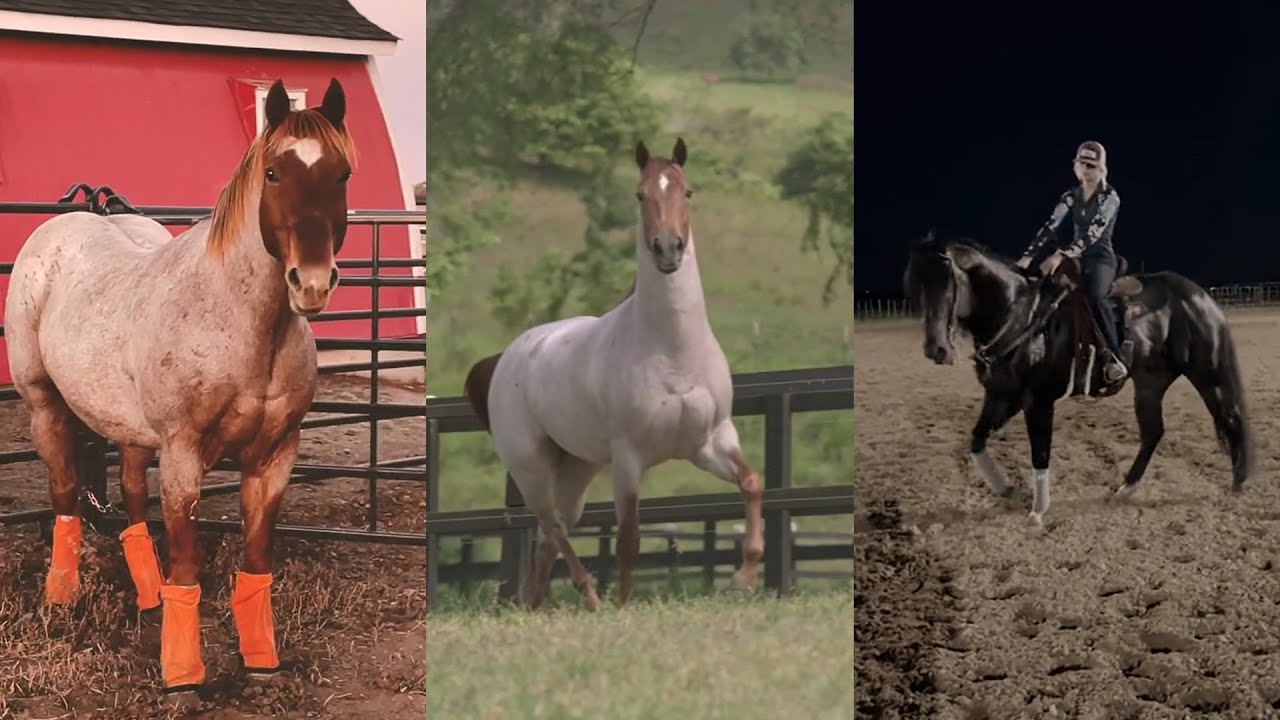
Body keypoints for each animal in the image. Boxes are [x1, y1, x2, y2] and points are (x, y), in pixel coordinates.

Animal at [4, 78, 355, 702]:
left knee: (129, 496)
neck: (242, 324)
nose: (312, 283)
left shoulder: (274, 457)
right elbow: (187, 565)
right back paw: (61, 599)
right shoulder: (184, 456)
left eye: (341, 174)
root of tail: (72, 219)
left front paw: (261, 664)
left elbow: (257, 559)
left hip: (129, 429)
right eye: (273, 173)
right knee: (66, 494)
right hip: (45, 405)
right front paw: (183, 679)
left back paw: (147, 599)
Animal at [463, 138, 764, 610]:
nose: (668, 250)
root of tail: (509, 355)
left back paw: (537, 605)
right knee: (553, 525)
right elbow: (629, 538)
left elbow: (751, 484)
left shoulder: (711, 440)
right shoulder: (628, 456)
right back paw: (590, 597)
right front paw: (623, 606)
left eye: (687, 191)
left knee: (552, 534)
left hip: (578, 467)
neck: (672, 350)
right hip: (531, 467)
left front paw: (745, 577)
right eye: (641, 194)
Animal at [901, 230, 1252, 526]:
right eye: (916, 285)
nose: (937, 349)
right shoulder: (1002, 395)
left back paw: (1239, 484)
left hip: (1208, 373)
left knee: (1231, 418)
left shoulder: (1038, 400)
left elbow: (1040, 452)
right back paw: (1125, 489)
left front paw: (1038, 510)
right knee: (1153, 432)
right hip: (1150, 384)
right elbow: (976, 440)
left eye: (949, 284)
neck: (1022, 315)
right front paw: (1005, 489)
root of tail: (1198, 294)